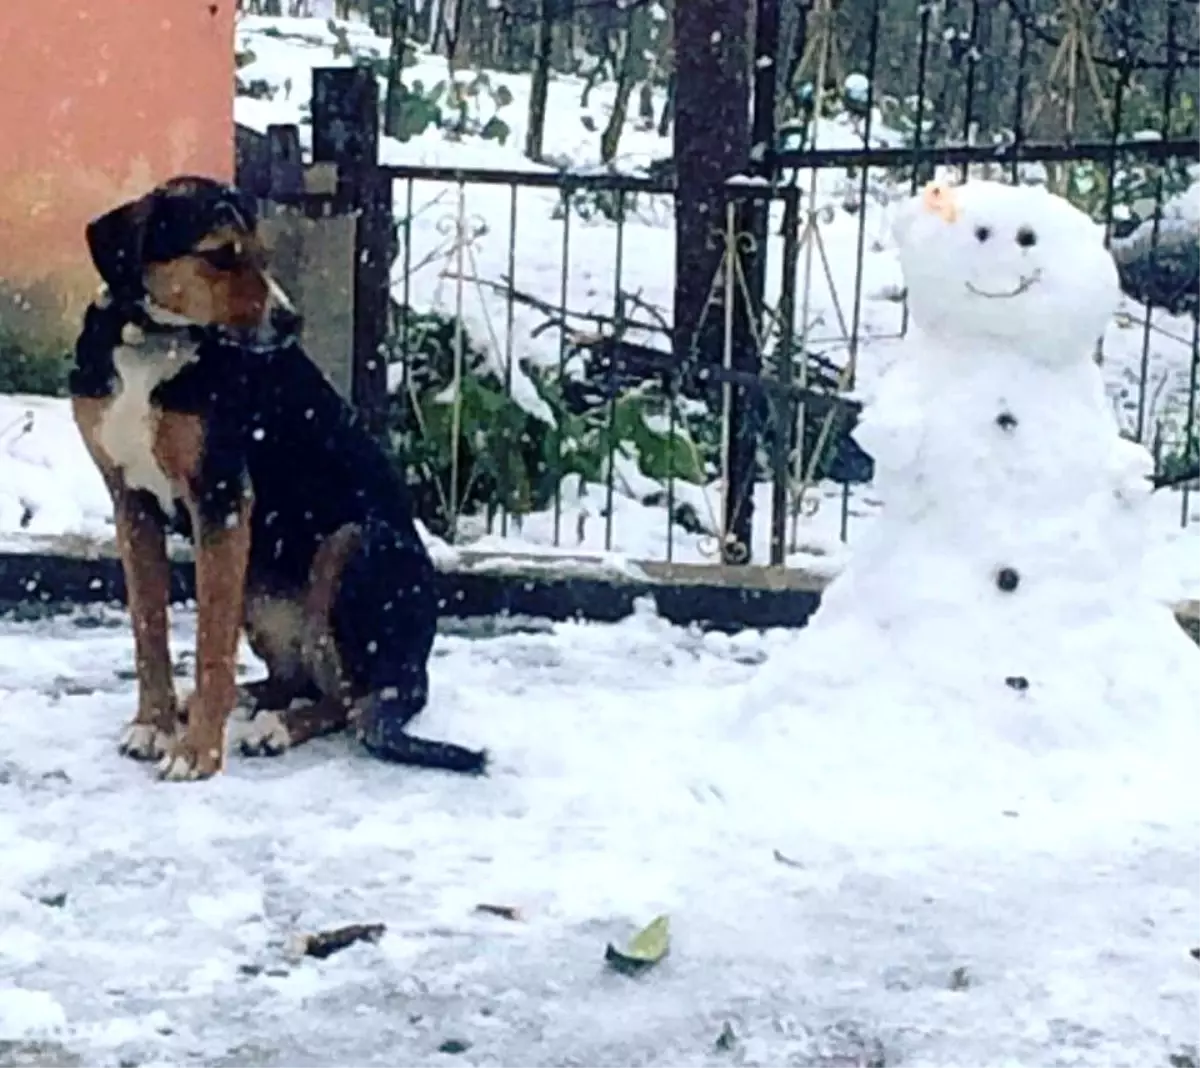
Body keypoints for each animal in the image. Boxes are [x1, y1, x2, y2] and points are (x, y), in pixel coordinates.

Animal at [71, 175, 487, 782]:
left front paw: (196, 753)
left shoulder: (222, 499)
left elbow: (211, 647)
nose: (291, 321)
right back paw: (237, 703)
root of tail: (413, 672)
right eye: (221, 255)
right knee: (299, 677)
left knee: (351, 701)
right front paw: (153, 725)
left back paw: (272, 729)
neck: (155, 343)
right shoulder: (132, 504)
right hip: (256, 580)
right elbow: (149, 634)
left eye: (263, 254)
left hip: (352, 544)